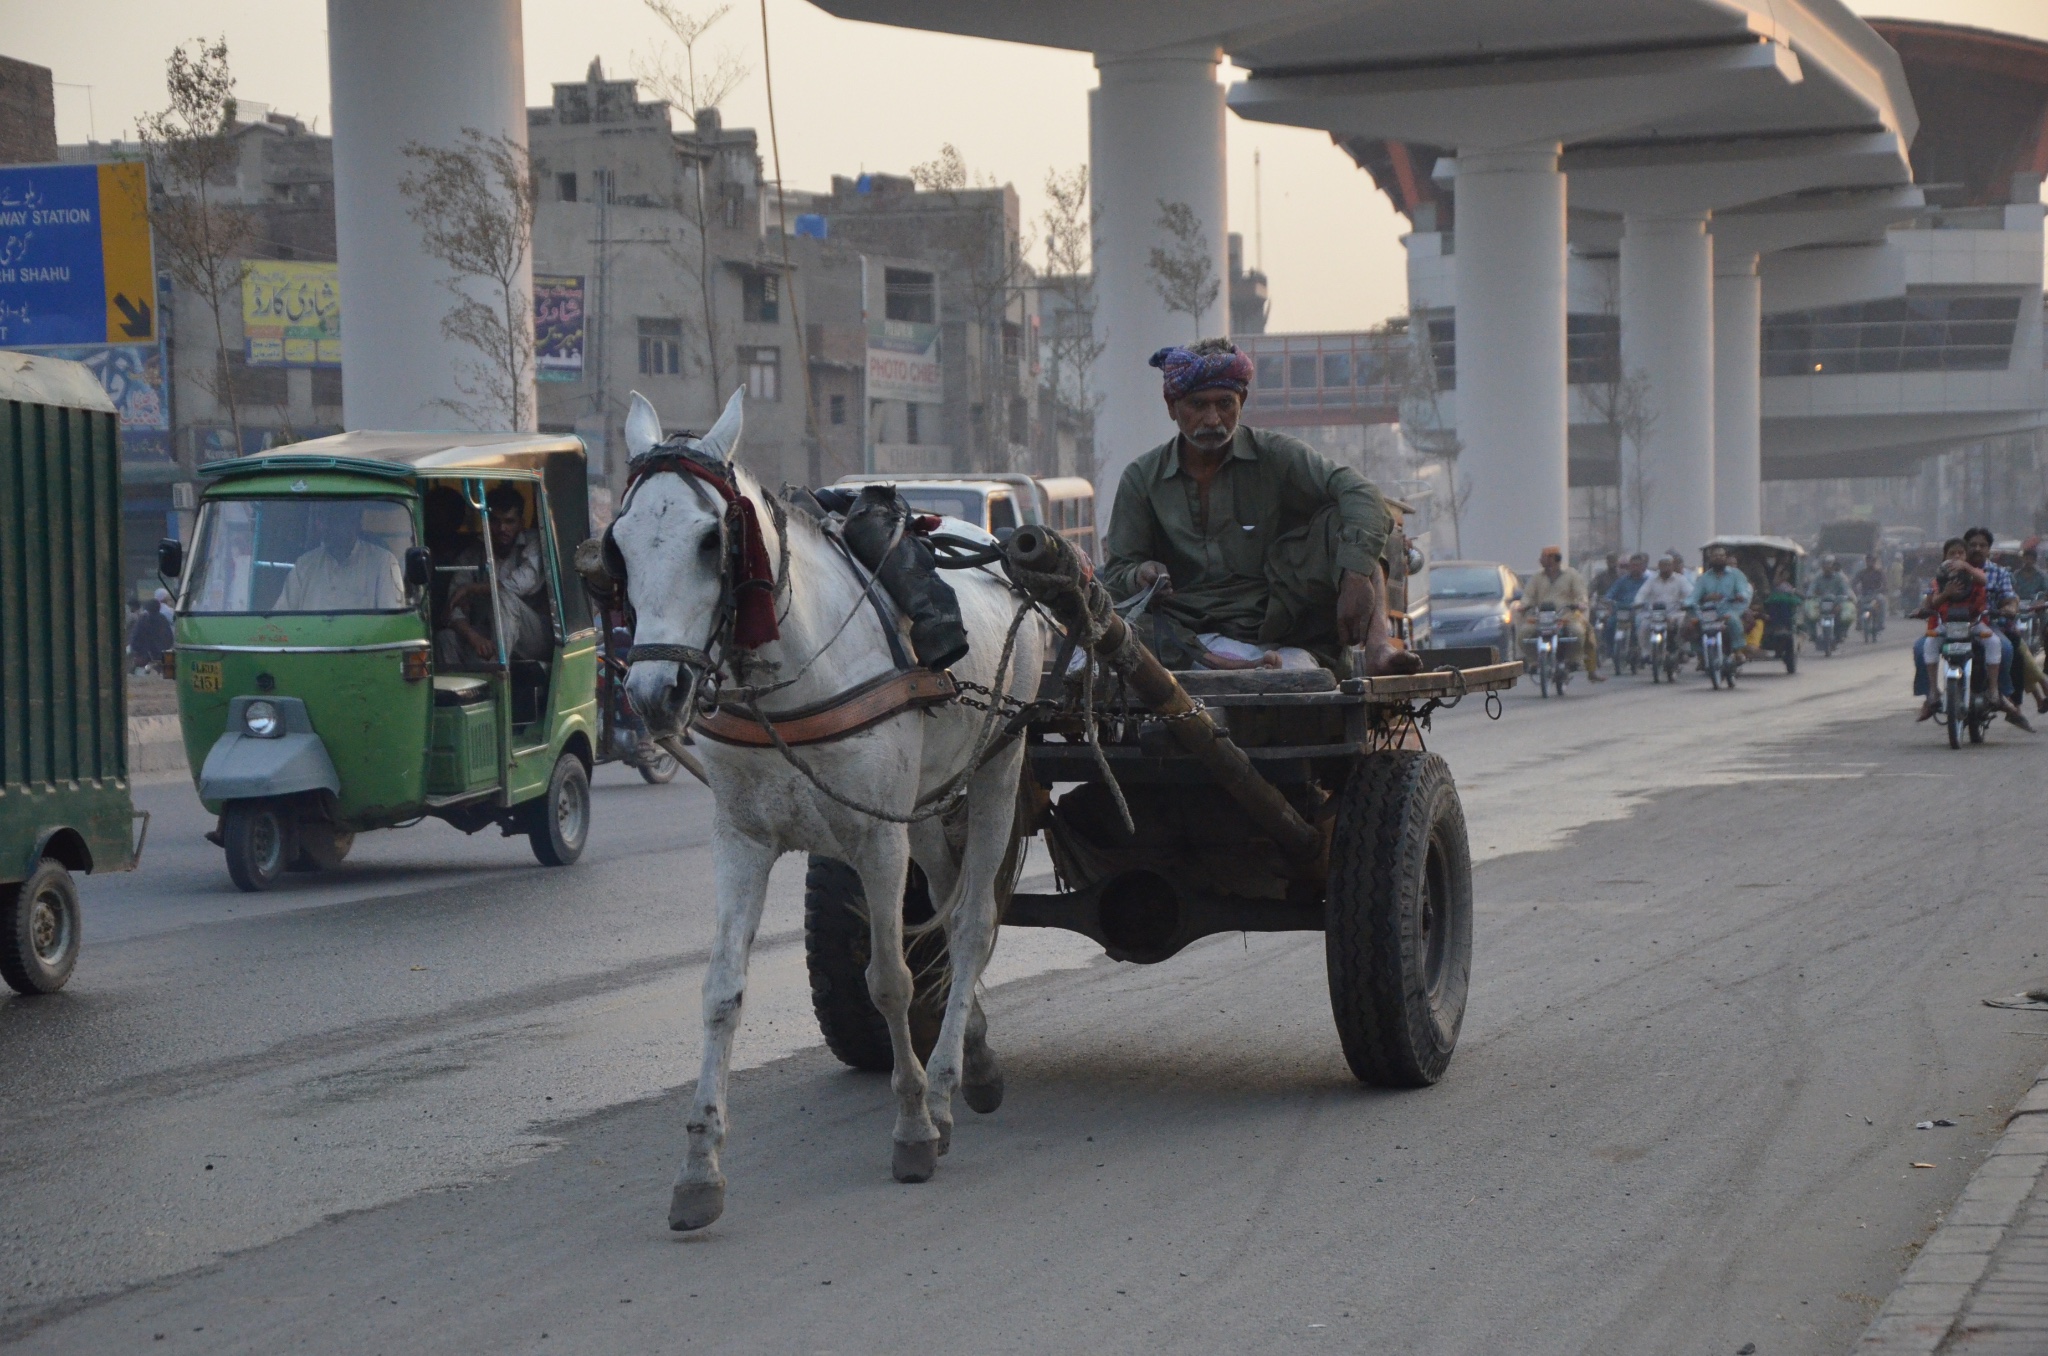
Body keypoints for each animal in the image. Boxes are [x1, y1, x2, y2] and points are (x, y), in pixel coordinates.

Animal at [610, 385, 1048, 1229]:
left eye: (712, 540)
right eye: (617, 545)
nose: (652, 695)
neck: (794, 673)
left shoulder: (876, 840)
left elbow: (890, 979)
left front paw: (911, 1125)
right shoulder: (741, 840)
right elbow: (720, 991)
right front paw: (699, 1166)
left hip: (997, 766)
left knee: (972, 922)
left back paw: (943, 1085)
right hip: (929, 804)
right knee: (948, 904)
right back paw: (971, 1055)